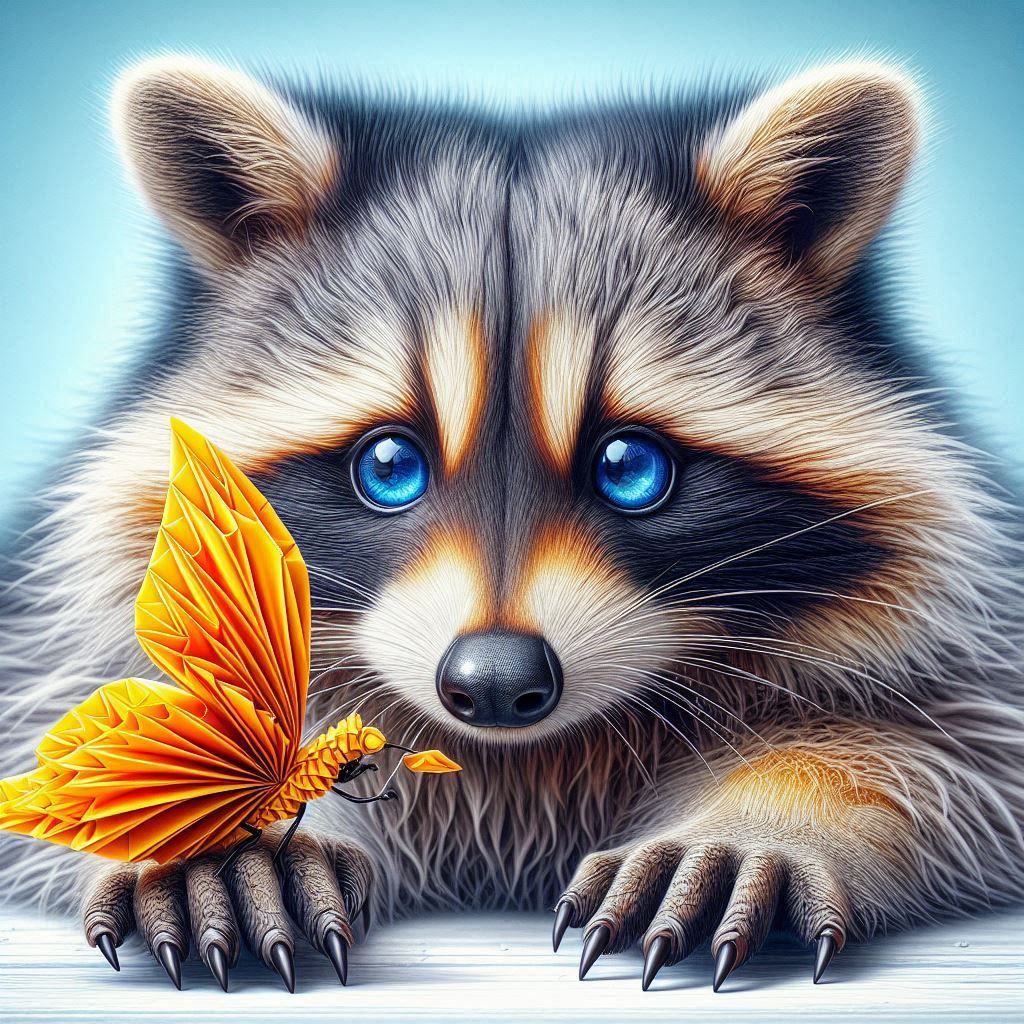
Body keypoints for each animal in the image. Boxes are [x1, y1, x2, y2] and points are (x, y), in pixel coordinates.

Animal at [1, 54, 1022, 993]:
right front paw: (214, 818)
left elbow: (952, 746)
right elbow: (65, 739)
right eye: (388, 465)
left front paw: (763, 820)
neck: (512, 768)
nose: (494, 682)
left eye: (630, 468)